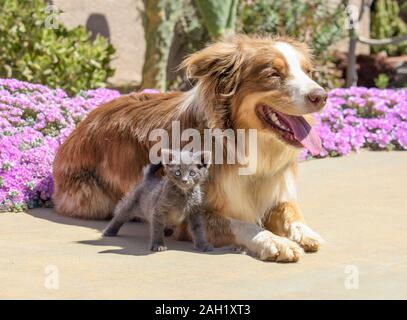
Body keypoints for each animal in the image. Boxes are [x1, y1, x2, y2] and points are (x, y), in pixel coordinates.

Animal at [53, 35, 328, 262]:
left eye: (308, 72)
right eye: (273, 73)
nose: (321, 96)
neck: (248, 144)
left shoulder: (274, 191)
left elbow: (290, 212)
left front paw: (305, 232)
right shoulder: (194, 213)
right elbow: (243, 224)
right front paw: (275, 242)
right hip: (92, 197)